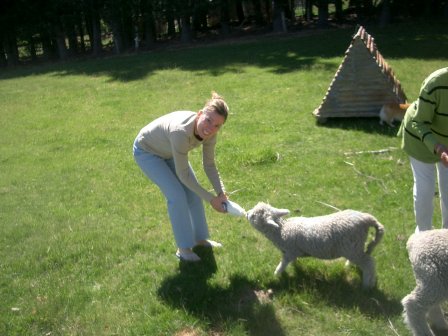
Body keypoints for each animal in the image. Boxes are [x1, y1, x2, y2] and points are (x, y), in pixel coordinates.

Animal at [245, 202, 384, 288]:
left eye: (254, 216)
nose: (246, 213)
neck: (282, 230)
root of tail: (366, 219)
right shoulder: (292, 252)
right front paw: (294, 267)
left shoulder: (290, 251)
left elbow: (283, 264)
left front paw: (276, 274)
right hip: (354, 246)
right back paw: (349, 265)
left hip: (352, 246)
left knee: (369, 263)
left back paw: (367, 285)